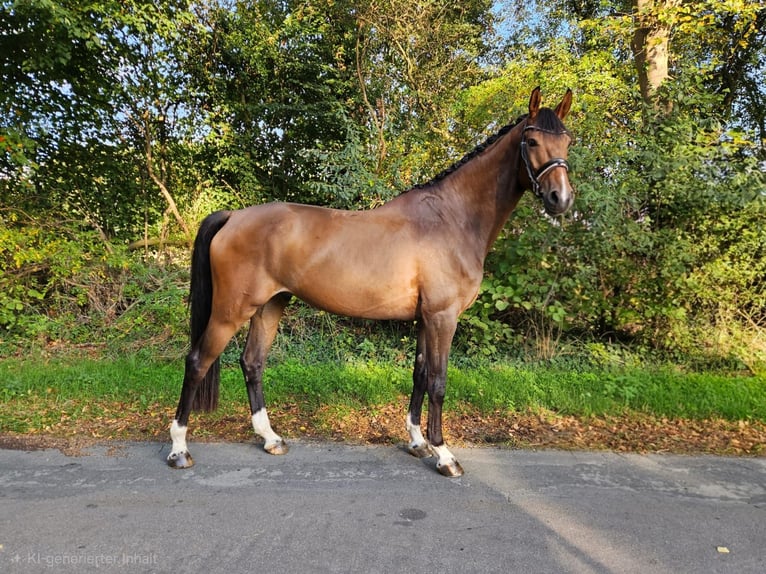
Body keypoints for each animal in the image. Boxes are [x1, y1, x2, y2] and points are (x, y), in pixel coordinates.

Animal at [167, 87, 574, 477]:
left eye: (567, 141)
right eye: (532, 141)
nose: (561, 198)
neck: (451, 219)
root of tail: (233, 216)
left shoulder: (425, 319)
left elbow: (420, 374)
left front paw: (418, 442)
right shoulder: (443, 317)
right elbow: (438, 382)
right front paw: (444, 455)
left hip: (270, 305)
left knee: (252, 363)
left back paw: (270, 438)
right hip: (231, 310)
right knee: (197, 361)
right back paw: (179, 449)